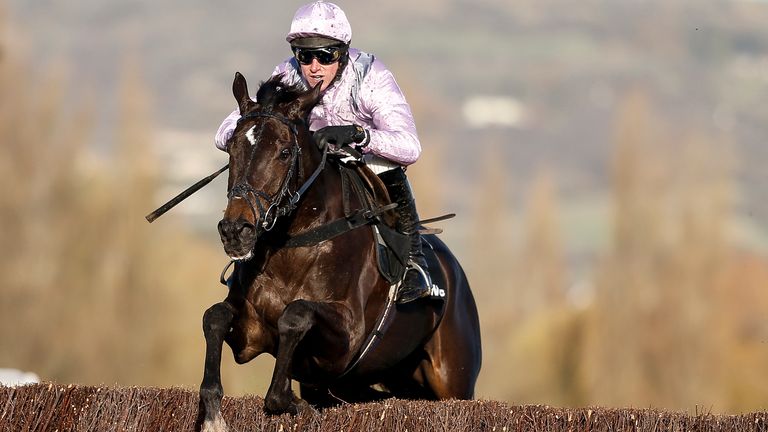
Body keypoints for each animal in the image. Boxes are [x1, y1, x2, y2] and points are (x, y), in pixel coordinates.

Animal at [201, 72, 484, 430]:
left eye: (284, 152)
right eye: (231, 149)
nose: (236, 230)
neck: (293, 244)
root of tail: (454, 270)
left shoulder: (346, 341)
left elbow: (296, 315)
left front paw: (290, 403)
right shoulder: (251, 337)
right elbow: (215, 316)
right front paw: (212, 413)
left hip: (452, 378)